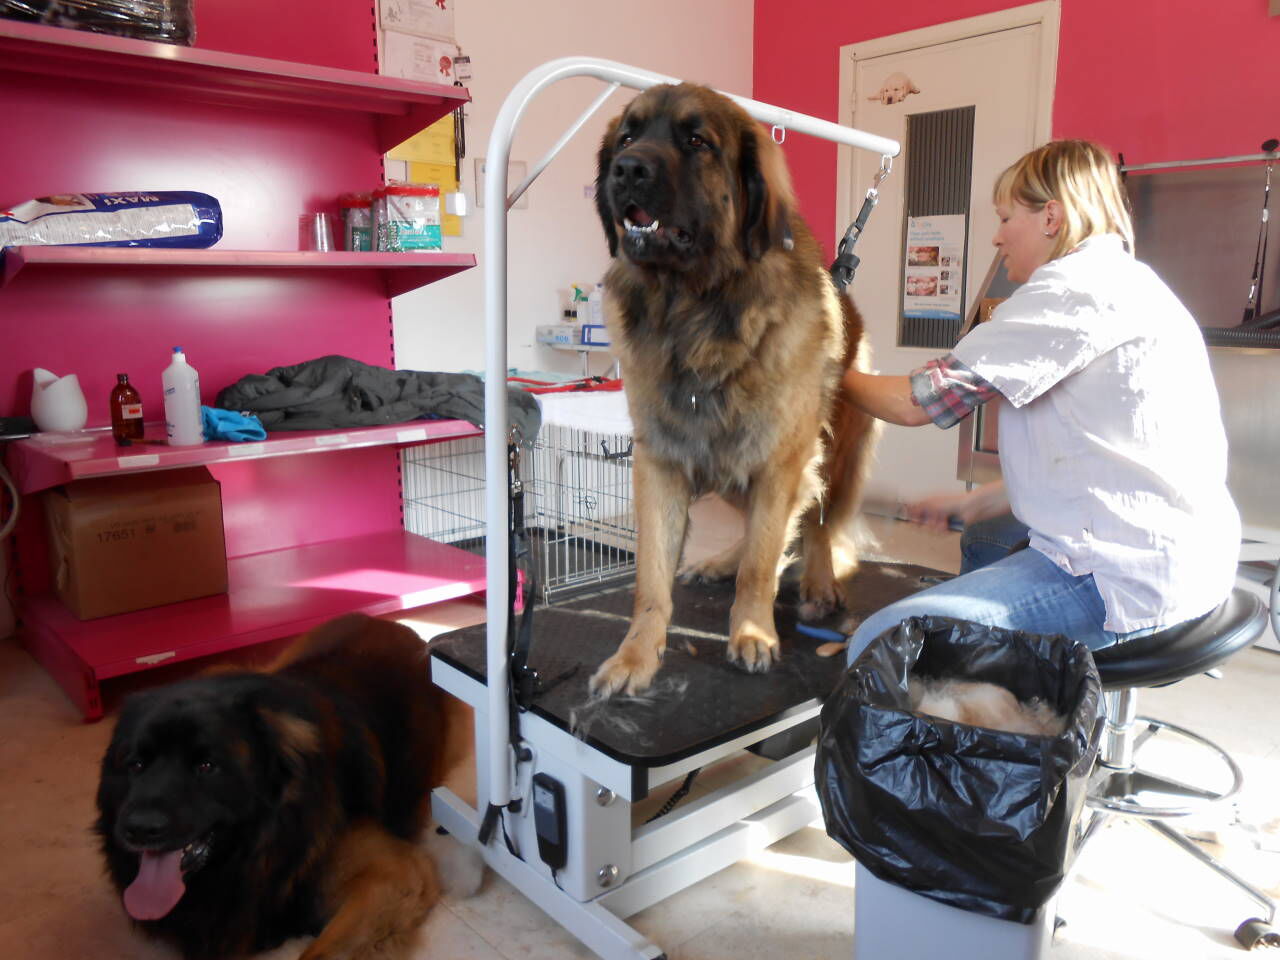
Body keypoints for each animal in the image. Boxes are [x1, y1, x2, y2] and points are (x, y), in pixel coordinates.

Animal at [588, 83, 878, 697]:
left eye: (697, 141)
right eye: (627, 137)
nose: (627, 169)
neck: (694, 310)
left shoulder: (781, 461)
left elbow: (763, 563)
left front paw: (752, 633)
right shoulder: (662, 460)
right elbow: (651, 578)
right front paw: (636, 656)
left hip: (830, 450)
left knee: (816, 523)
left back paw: (817, 582)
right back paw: (719, 561)